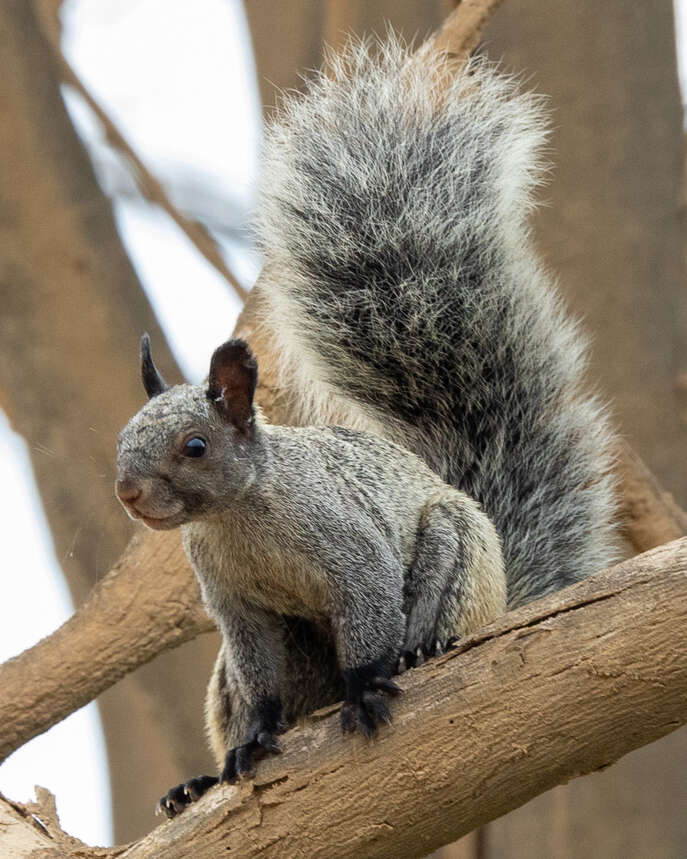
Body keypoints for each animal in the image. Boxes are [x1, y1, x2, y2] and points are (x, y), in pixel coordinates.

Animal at [114, 38, 620, 820]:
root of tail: (504, 597)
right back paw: (198, 783)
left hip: (452, 552)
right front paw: (249, 744)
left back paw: (419, 654)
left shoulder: (348, 544)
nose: (129, 493)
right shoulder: (235, 609)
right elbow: (258, 685)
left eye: (194, 446)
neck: (240, 516)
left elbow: (369, 606)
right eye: (121, 438)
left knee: (428, 617)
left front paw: (366, 686)